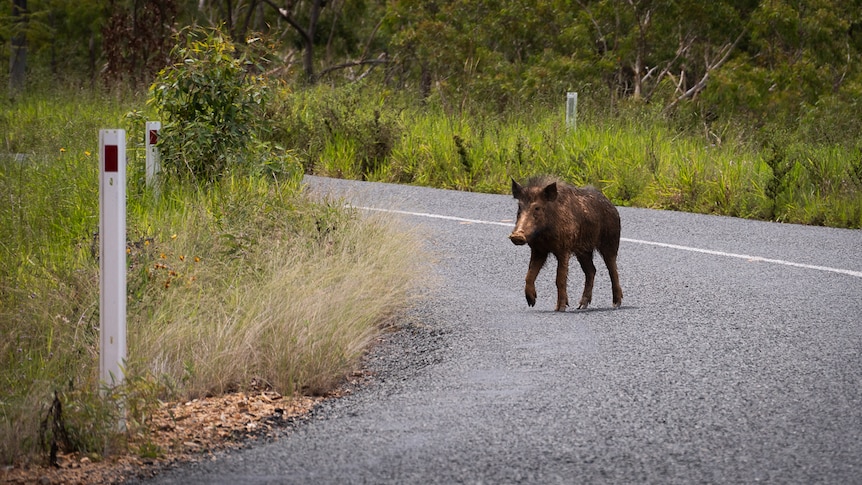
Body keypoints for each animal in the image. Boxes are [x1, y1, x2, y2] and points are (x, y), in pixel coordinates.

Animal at [510, 177, 624, 310]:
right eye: (519, 207)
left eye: (537, 208)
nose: (516, 236)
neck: (544, 233)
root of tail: (612, 206)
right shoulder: (539, 250)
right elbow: (529, 275)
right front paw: (531, 302)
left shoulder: (563, 249)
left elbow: (560, 278)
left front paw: (560, 308)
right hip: (583, 251)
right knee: (591, 270)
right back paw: (581, 306)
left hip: (610, 242)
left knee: (613, 270)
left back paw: (616, 304)